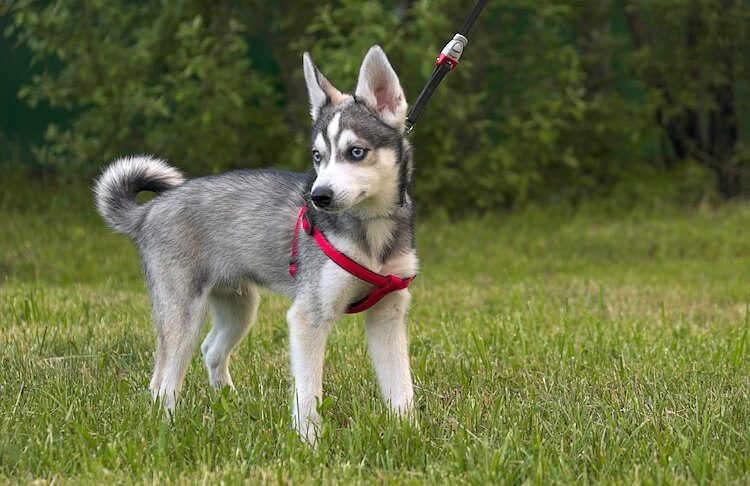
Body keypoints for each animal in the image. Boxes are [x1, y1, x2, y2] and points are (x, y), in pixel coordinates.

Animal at [94, 46, 418, 444]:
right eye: (317, 156)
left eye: (356, 152)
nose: (318, 197)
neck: (372, 231)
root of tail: (150, 210)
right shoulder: (308, 317)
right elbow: (307, 394)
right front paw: (309, 444)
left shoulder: (388, 313)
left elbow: (401, 388)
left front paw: (410, 434)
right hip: (182, 314)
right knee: (162, 380)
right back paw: (166, 428)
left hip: (239, 308)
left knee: (210, 350)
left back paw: (230, 403)